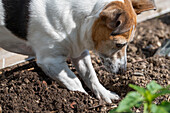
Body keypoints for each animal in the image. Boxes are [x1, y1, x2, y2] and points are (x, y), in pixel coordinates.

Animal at [0, 0, 155, 103]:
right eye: (119, 44)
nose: (123, 71)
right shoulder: (51, 61)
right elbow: (75, 83)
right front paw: (83, 99)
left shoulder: (80, 53)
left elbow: (91, 76)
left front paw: (105, 95)